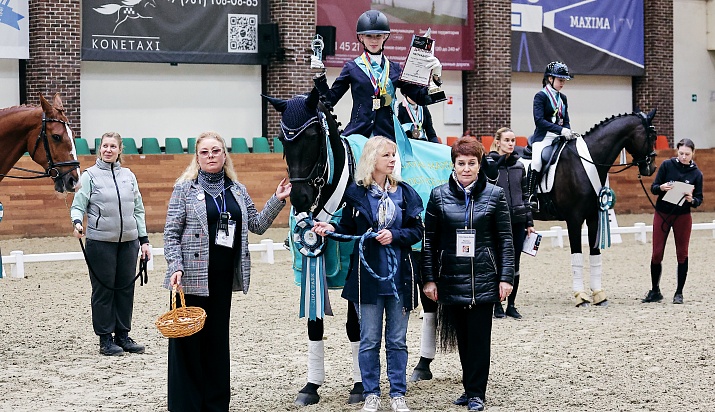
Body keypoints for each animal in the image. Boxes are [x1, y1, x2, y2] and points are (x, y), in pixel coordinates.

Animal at [528, 109, 656, 306]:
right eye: (652, 135)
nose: (651, 168)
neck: (587, 162)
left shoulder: (594, 216)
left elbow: (595, 254)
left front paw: (599, 295)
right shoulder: (574, 219)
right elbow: (577, 256)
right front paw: (581, 296)